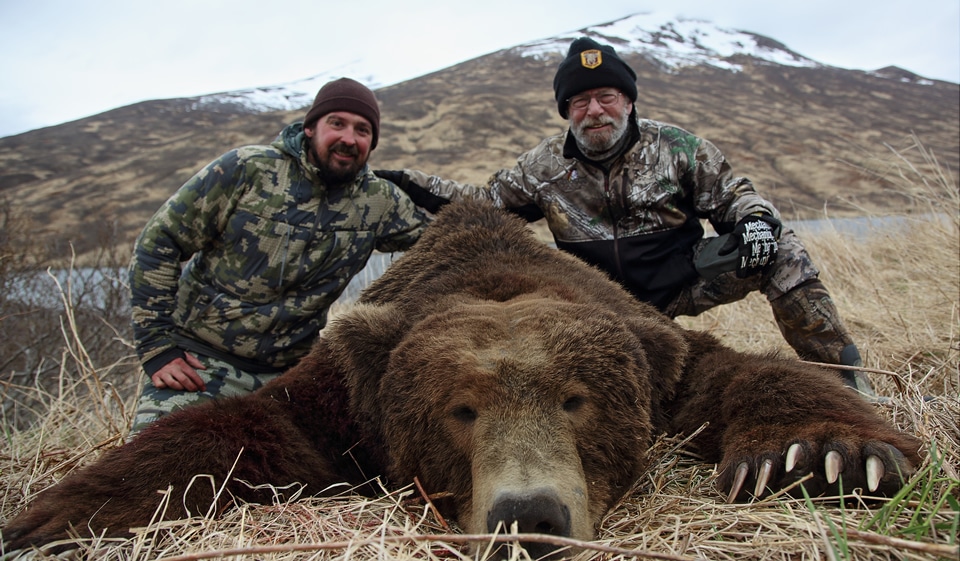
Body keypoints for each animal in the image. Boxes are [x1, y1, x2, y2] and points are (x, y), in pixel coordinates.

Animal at [2, 199, 922, 559]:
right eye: (459, 411)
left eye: (578, 400)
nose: (530, 516)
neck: (492, 275)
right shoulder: (347, 394)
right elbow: (244, 427)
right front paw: (55, 515)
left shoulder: (661, 356)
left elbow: (741, 375)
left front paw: (826, 455)